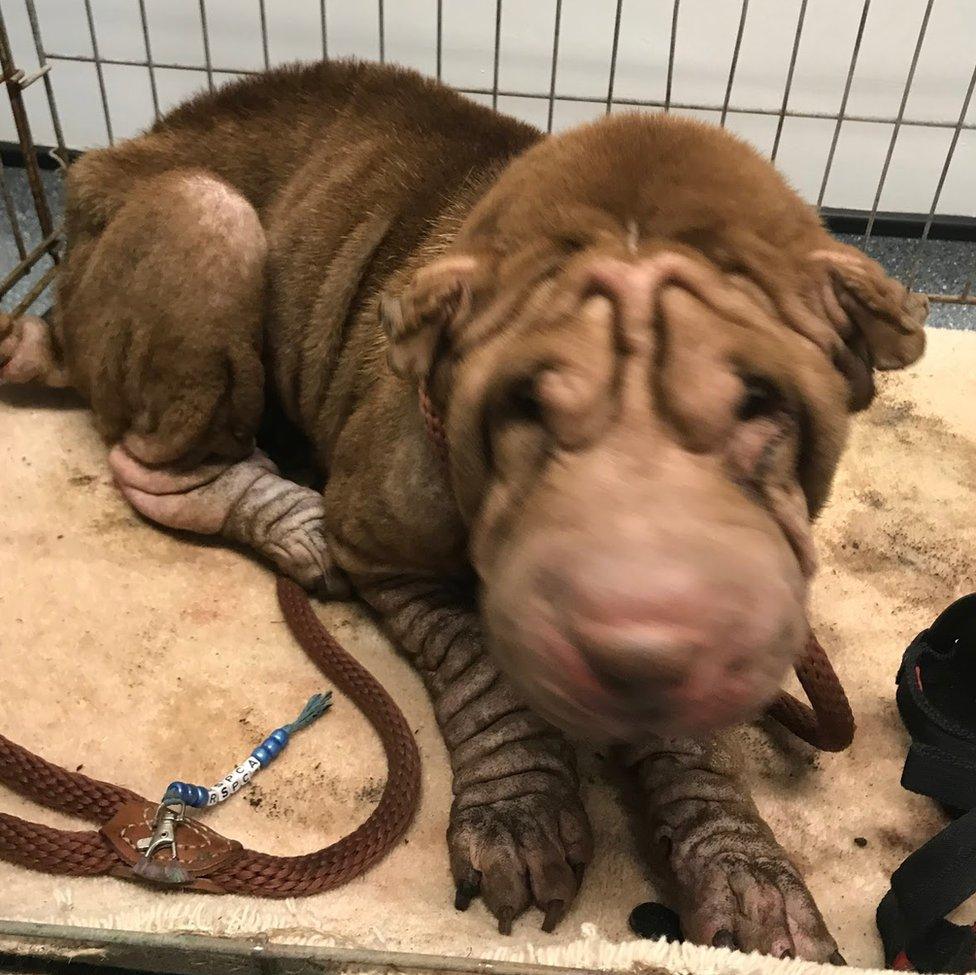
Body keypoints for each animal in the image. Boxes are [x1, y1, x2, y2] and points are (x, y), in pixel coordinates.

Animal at [0, 63, 928, 960]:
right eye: (527, 408)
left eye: (760, 406)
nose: (635, 636)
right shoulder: (391, 543)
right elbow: (481, 662)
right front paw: (520, 812)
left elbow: (698, 738)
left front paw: (745, 867)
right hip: (200, 217)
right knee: (160, 462)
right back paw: (292, 518)